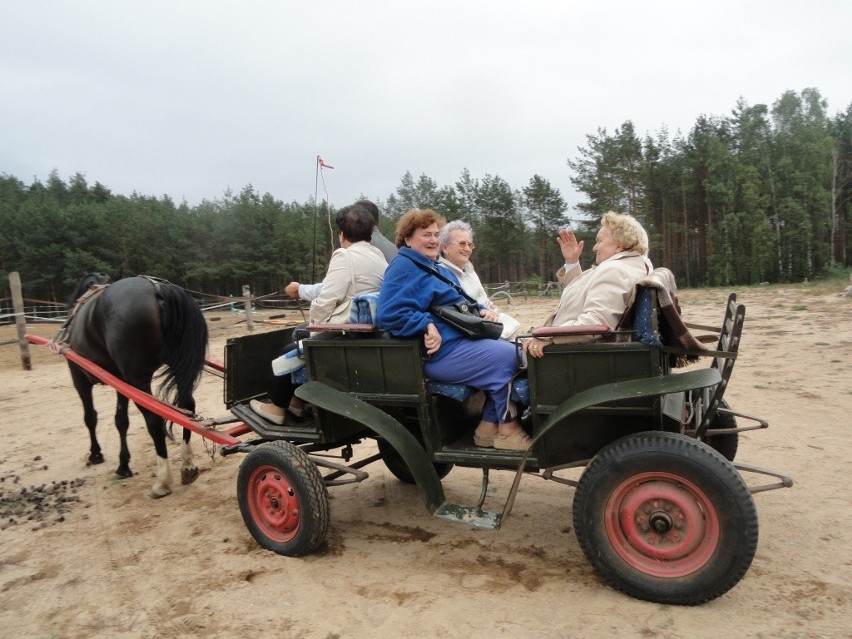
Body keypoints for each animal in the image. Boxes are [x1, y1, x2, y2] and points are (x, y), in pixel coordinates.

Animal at [65, 272, 208, 498]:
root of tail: (157, 289)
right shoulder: (120, 381)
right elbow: (121, 421)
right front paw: (123, 465)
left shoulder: (79, 375)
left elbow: (90, 417)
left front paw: (96, 454)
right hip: (172, 366)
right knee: (188, 406)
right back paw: (187, 466)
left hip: (137, 378)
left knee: (154, 420)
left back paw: (162, 481)